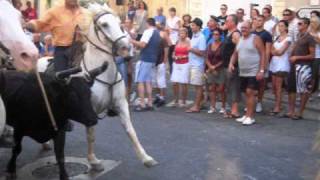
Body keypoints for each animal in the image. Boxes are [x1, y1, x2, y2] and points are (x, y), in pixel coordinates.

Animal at [38, 2, 158, 169]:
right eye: (104, 24)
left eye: (119, 23)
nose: (126, 49)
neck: (100, 73)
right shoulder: (90, 108)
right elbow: (91, 134)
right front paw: (93, 160)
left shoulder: (121, 104)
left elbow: (131, 131)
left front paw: (145, 157)